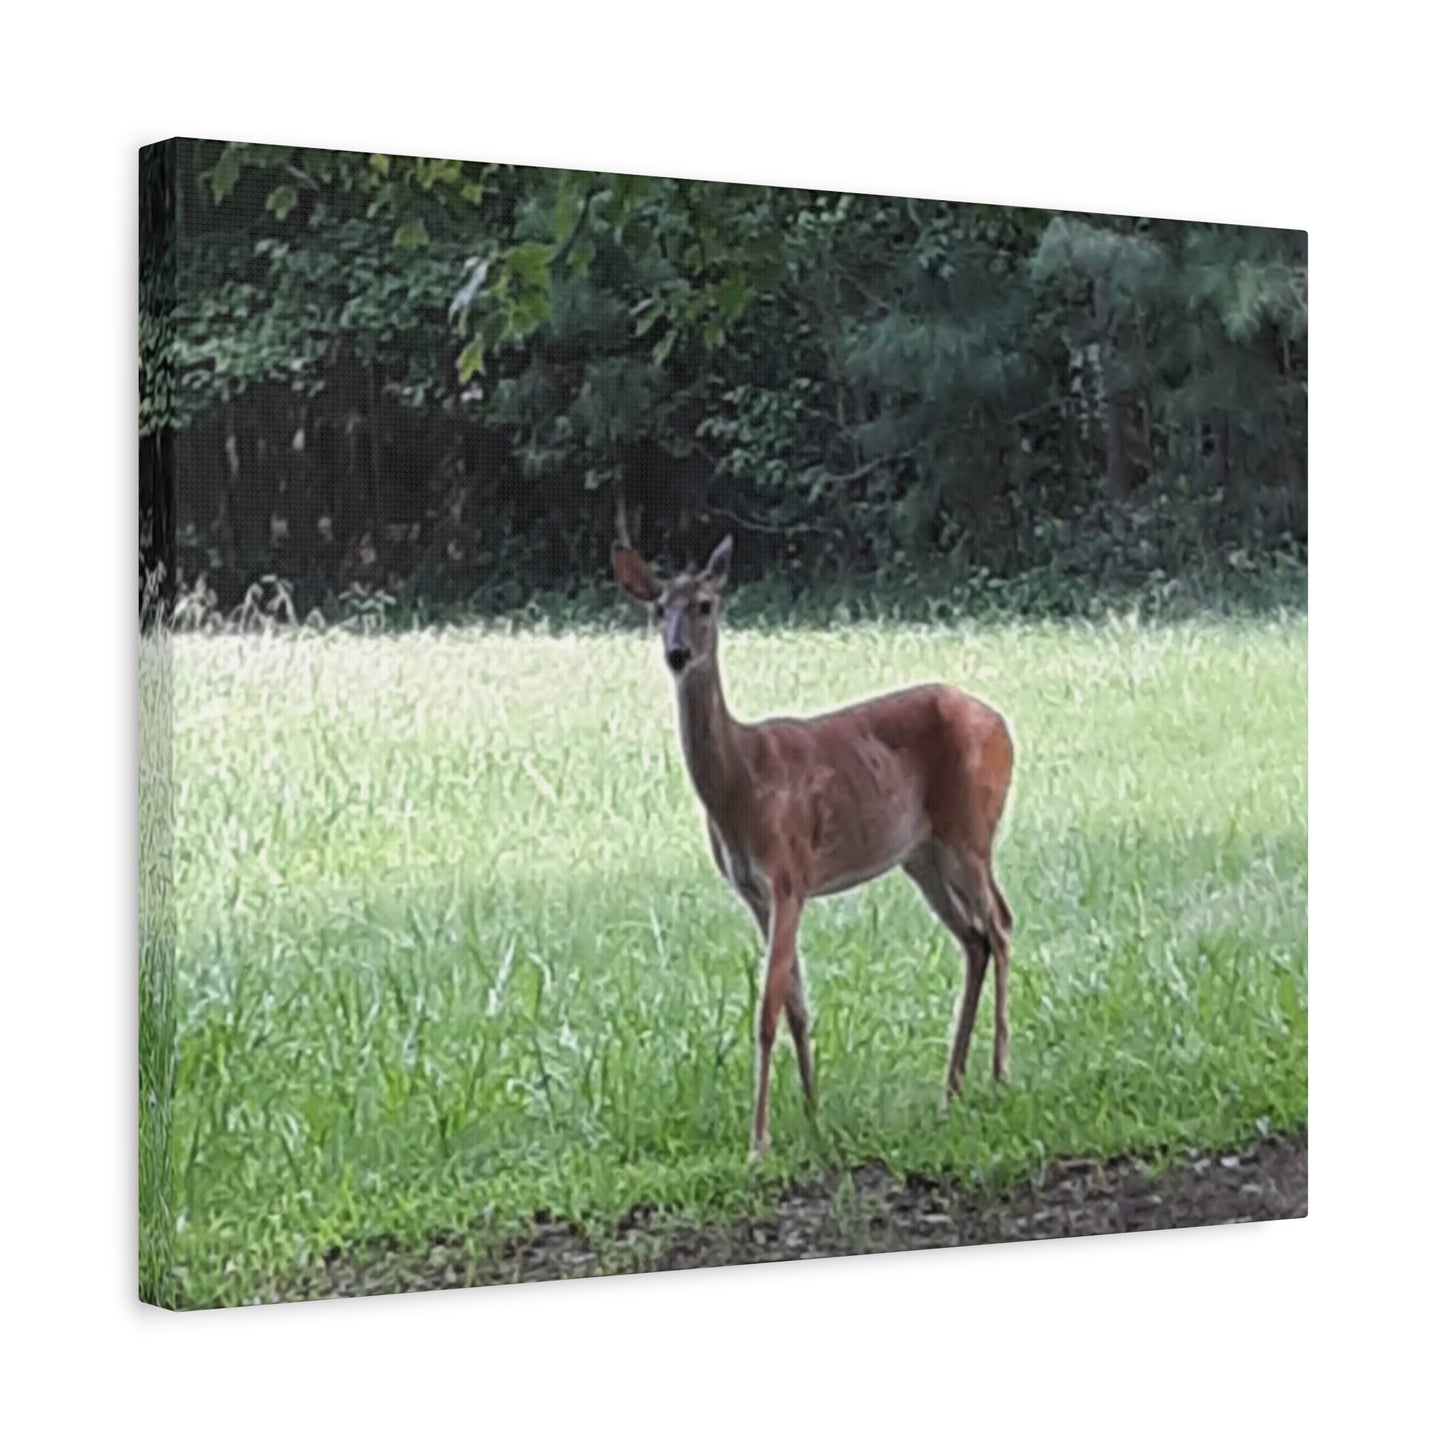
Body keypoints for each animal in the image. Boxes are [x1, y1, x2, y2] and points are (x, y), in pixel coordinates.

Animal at [612, 534, 1015, 1160]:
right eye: (657, 609)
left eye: (705, 604)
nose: (677, 653)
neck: (740, 783)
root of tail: (1006, 728)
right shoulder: (753, 891)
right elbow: (797, 1006)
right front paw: (811, 1111)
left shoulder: (789, 876)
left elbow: (768, 1009)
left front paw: (759, 1141)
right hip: (921, 855)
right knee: (975, 939)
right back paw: (950, 1087)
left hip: (971, 829)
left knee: (1000, 924)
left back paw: (998, 1074)